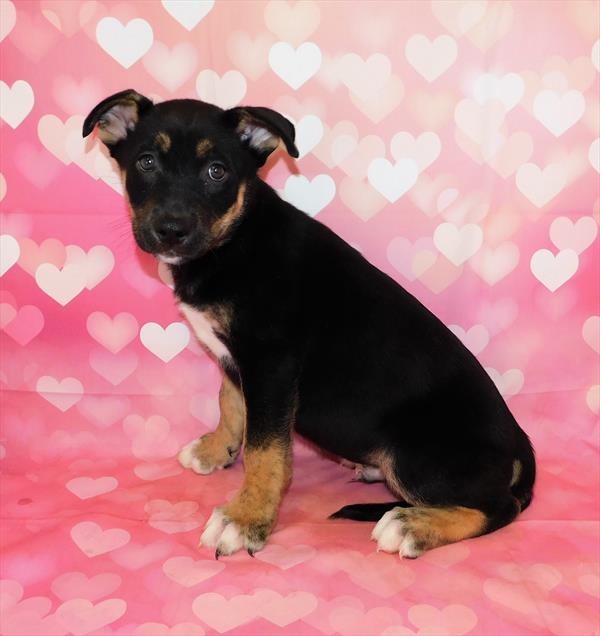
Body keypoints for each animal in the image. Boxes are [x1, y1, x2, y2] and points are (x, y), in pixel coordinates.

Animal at [83, 89, 536, 556]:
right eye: (146, 162)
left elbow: (266, 451)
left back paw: (411, 525)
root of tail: (521, 445)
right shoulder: (238, 359)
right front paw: (216, 450)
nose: (172, 229)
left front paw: (246, 518)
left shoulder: (271, 364)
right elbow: (230, 402)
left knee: (499, 508)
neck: (234, 241)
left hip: (414, 453)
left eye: (216, 171)